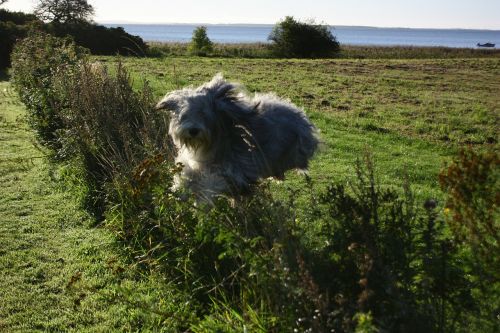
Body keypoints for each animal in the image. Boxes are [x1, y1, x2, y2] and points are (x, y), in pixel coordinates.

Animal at [157, 74, 320, 201]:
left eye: (204, 115)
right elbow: (187, 173)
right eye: (185, 115)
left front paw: (202, 201)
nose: (193, 130)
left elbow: (212, 183)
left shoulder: (235, 168)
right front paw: (179, 191)